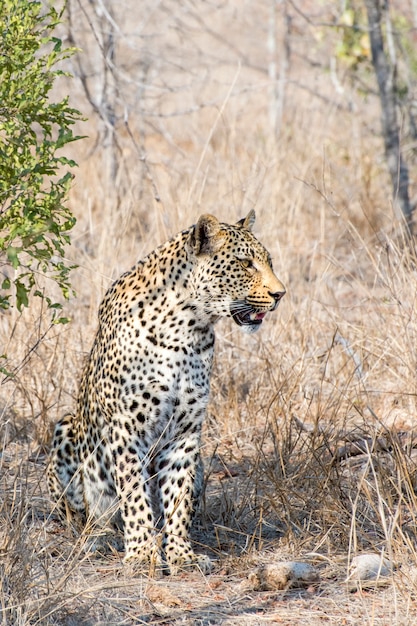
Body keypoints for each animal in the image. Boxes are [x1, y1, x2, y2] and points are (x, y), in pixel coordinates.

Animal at [47, 212, 284, 572]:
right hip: (66, 429)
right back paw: (100, 538)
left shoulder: (185, 433)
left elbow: (179, 497)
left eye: (268, 262)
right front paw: (142, 553)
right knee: (85, 516)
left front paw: (180, 554)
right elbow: (134, 494)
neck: (188, 327)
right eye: (245, 263)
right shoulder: (126, 429)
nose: (280, 294)